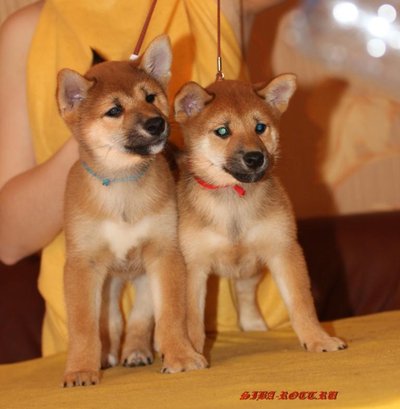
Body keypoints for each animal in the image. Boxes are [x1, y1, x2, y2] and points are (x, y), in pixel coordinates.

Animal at [58, 35, 208, 386]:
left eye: (151, 97)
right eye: (114, 110)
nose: (157, 123)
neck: (124, 186)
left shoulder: (165, 254)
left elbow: (171, 315)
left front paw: (180, 356)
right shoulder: (82, 265)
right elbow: (84, 327)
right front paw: (81, 369)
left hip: (142, 278)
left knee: (139, 320)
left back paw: (137, 351)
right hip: (108, 282)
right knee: (110, 320)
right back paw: (106, 355)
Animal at [174, 75, 346, 356]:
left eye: (260, 127)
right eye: (222, 131)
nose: (255, 158)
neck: (234, 198)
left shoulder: (283, 250)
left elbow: (301, 303)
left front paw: (318, 339)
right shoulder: (193, 265)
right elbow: (191, 319)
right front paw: (192, 355)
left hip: (251, 267)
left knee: (246, 293)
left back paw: (255, 326)